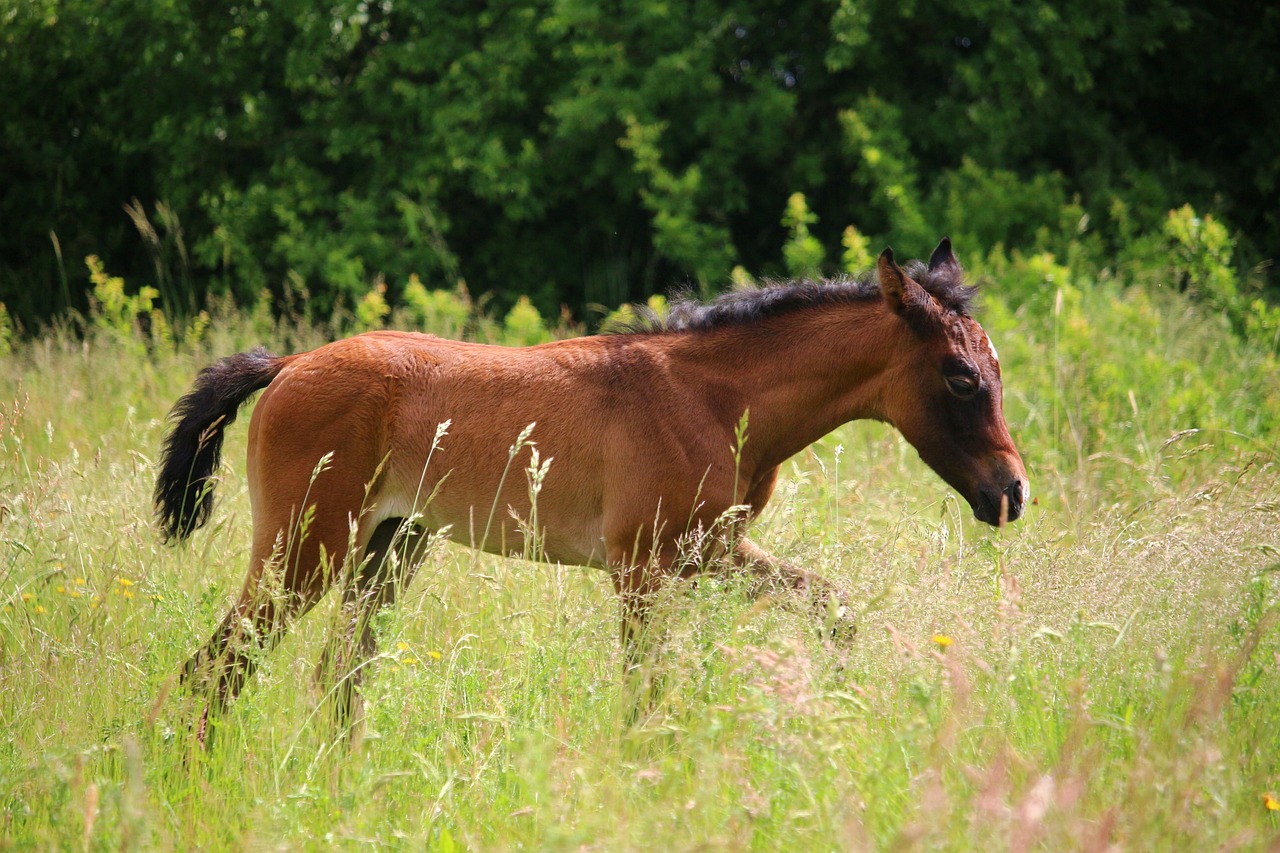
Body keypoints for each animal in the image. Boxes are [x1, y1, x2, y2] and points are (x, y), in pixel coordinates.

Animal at [154, 236, 1029, 732]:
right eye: (959, 377)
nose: (1012, 492)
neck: (714, 398)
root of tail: (289, 364)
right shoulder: (640, 567)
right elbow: (647, 689)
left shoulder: (715, 551)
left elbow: (834, 608)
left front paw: (839, 706)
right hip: (305, 548)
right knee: (216, 667)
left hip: (388, 546)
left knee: (336, 677)